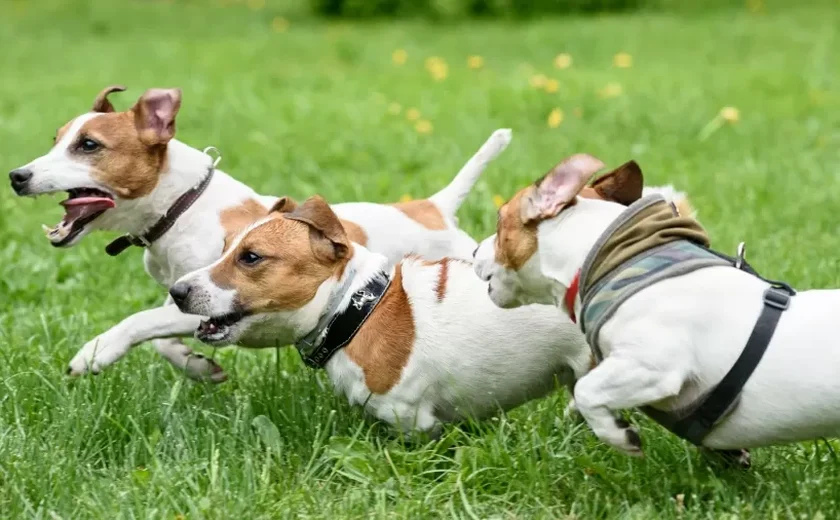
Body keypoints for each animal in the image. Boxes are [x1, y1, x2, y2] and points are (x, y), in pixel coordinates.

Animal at [8, 85, 512, 382]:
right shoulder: (190, 299)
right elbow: (164, 336)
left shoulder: (221, 298)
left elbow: (143, 321)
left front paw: (95, 352)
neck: (183, 205)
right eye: (56, 140)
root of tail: (434, 209)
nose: (17, 175)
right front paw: (197, 366)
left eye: (88, 145)